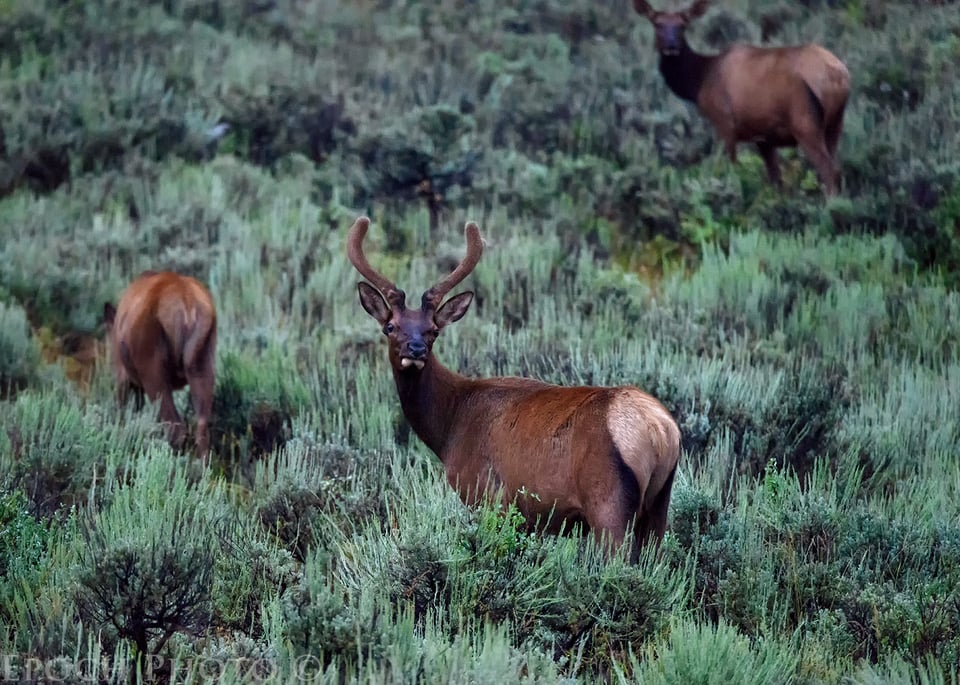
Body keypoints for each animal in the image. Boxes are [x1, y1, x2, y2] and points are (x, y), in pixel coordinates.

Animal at [104, 272, 218, 460]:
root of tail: (186, 306)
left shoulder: (122, 374)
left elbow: (122, 408)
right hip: (202, 364)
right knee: (202, 427)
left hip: (152, 369)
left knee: (176, 428)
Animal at [348, 216, 680, 560]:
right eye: (390, 326)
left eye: (433, 330)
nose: (415, 350)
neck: (449, 428)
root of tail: (661, 431)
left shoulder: (488, 496)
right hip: (659, 504)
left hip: (609, 503)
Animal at [632, 0, 852, 195]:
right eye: (657, 24)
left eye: (682, 25)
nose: (671, 46)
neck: (700, 81)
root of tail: (838, 74)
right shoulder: (763, 137)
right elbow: (776, 181)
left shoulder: (724, 122)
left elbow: (733, 170)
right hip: (835, 122)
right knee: (835, 167)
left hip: (804, 121)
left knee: (829, 171)